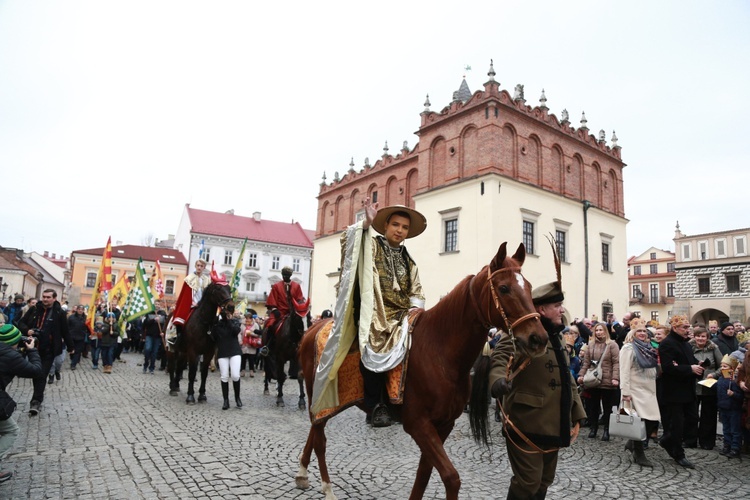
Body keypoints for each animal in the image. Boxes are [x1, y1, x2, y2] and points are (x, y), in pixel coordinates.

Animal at [294, 242, 548, 500]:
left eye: (528, 287)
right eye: (504, 288)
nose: (538, 338)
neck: (440, 353)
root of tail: (312, 329)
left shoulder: (444, 424)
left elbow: (424, 472)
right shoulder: (418, 424)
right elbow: (451, 477)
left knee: (314, 431)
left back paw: (303, 474)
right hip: (320, 396)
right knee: (320, 439)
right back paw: (327, 488)